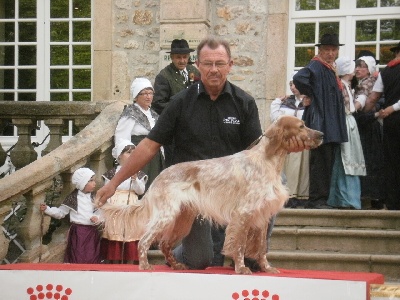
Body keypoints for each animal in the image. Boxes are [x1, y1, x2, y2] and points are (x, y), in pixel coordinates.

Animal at [100, 115, 322, 274]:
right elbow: (239, 245)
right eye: (301, 126)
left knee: (164, 244)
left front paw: (267, 268)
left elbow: (261, 248)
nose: (321, 134)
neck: (267, 160)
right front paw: (242, 268)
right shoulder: (243, 213)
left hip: (182, 218)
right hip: (166, 215)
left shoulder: (262, 214)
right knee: (145, 240)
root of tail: (159, 177)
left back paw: (177, 265)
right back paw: (145, 265)